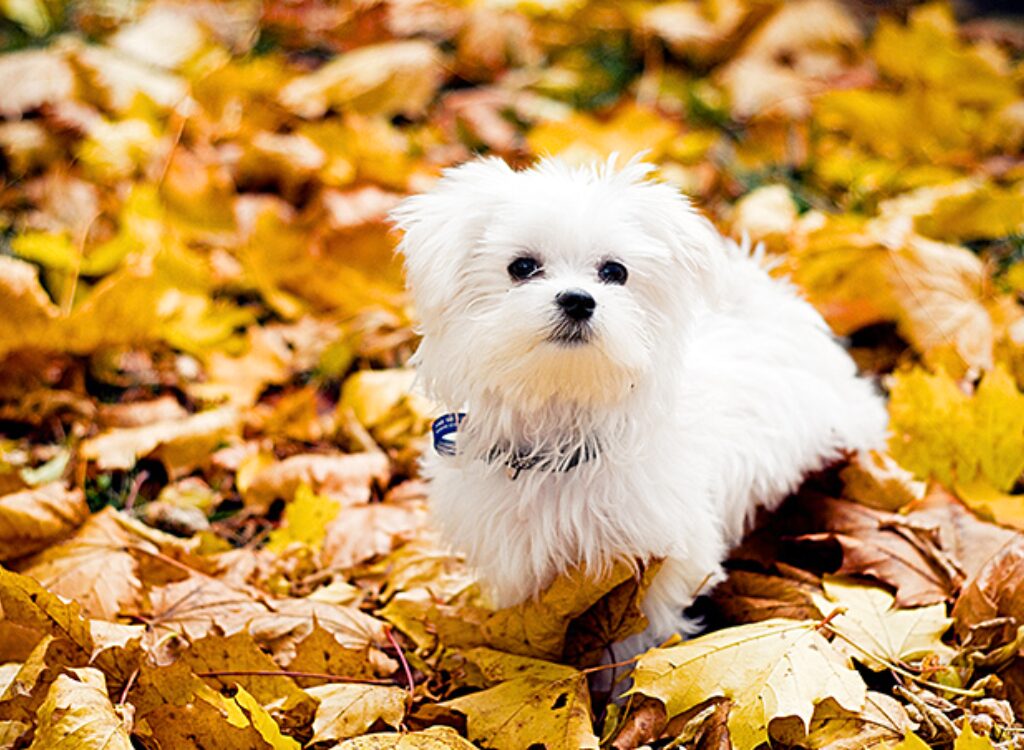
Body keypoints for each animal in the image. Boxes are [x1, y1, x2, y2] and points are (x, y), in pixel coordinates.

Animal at [391, 156, 888, 643]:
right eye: (522, 267)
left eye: (615, 272)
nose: (578, 300)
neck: (562, 422)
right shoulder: (520, 557)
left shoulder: (659, 556)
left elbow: (643, 628)